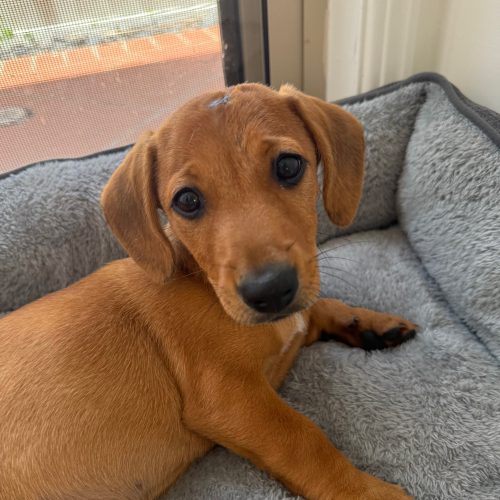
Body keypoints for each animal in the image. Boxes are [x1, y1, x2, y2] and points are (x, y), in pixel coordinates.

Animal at [0, 83, 416, 499]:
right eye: (187, 201)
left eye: (288, 165)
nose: (270, 291)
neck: (203, 281)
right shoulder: (229, 398)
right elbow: (304, 439)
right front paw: (366, 491)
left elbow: (319, 307)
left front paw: (368, 322)